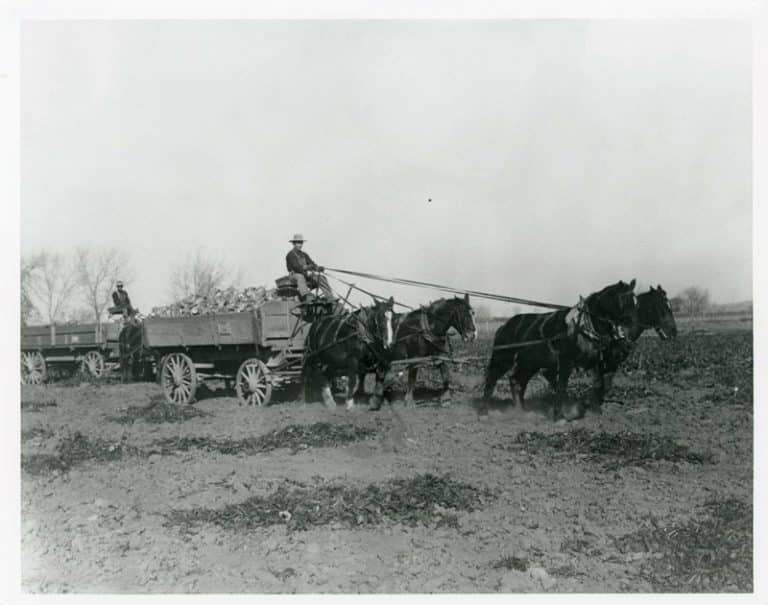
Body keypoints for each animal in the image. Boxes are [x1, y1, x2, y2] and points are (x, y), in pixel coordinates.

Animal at [484, 280, 640, 418]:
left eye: (635, 302)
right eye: (623, 299)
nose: (632, 327)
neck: (582, 326)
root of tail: (504, 325)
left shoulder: (596, 361)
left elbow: (600, 384)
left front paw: (593, 411)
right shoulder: (566, 361)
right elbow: (561, 386)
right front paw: (560, 415)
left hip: (529, 363)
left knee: (517, 381)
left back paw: (521, 411)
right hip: (503, 358)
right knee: (492, 379)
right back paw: (484, 410)